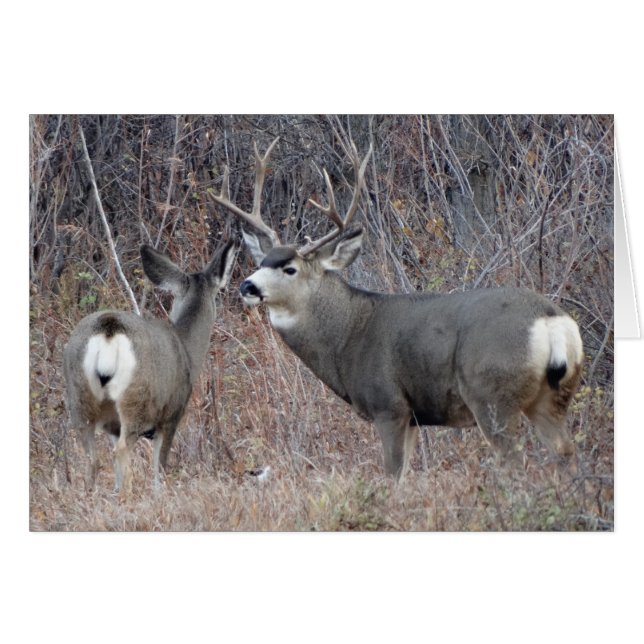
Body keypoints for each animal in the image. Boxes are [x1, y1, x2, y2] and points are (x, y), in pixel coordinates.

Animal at [63, 241, 236, 493]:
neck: (186, 348)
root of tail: (108, 330)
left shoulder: (113, 425)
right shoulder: (172, 413)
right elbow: (160, 468)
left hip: (79, 397)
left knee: (92, 459)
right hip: (136, 400)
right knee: (122, 451)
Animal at [211, 138, 584, 480]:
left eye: (290, 268)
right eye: (262, 262)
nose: (247, 286)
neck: (347, 335)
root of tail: (551, 322)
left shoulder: (388, 405)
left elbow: (392, 475)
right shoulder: (415, 417)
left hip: (491, 394)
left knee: (515, 462)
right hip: (553, 396)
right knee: (566, 452)